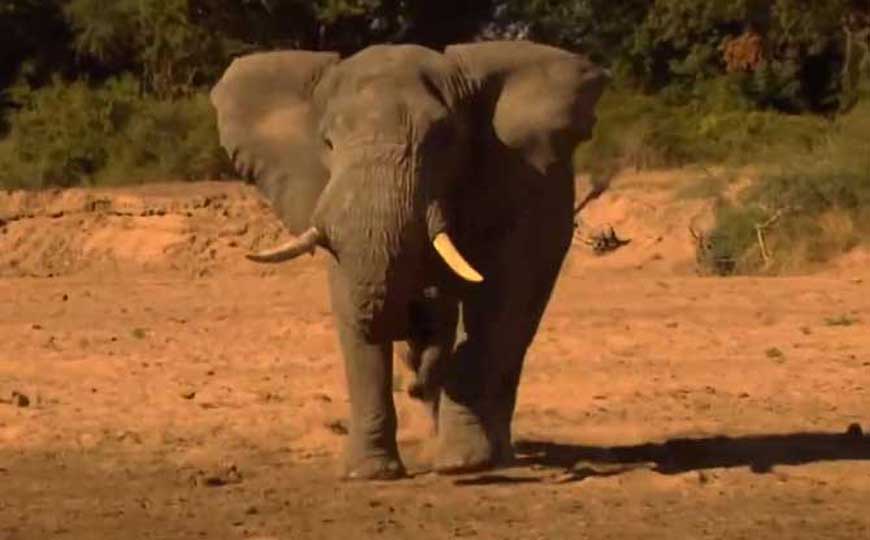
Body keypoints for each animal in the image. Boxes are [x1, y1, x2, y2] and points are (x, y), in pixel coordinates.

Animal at [210, 40, 608, 480]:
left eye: (443, 140)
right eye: (327, 143)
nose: (414, 381)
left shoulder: (516, 182)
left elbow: (499, 300)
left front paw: (462, 463)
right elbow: (351, 309)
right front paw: (368, 473)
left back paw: (489, 450)